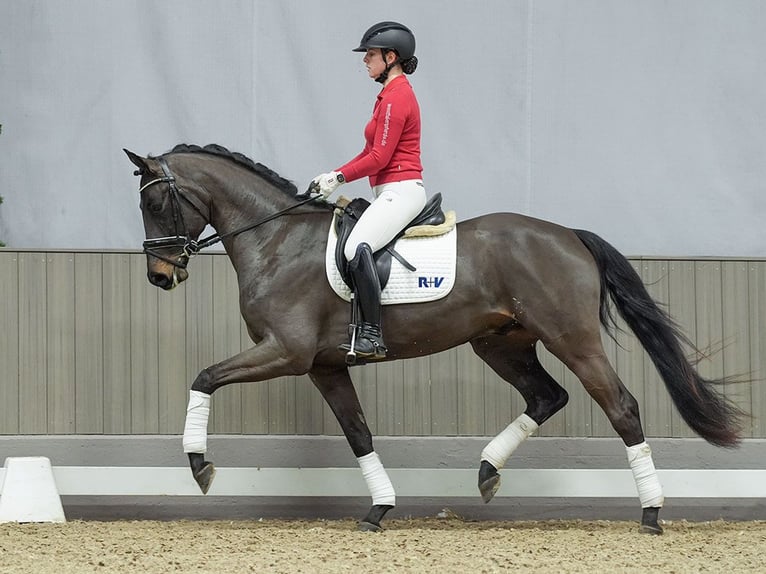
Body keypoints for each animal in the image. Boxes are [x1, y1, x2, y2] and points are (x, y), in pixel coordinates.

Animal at [124, 144, 744, 536]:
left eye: (155, 203)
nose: (159, 276)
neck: (277, 240)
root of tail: (568, 235)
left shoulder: (287, 352)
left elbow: (204, 376)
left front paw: (199, 465)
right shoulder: (324, 365)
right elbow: (358, 433)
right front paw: (378, 509)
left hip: (572, 339)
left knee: (621, 406)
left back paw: (652, 515)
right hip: (501, 343)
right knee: (547, 397)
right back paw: (488, 472)